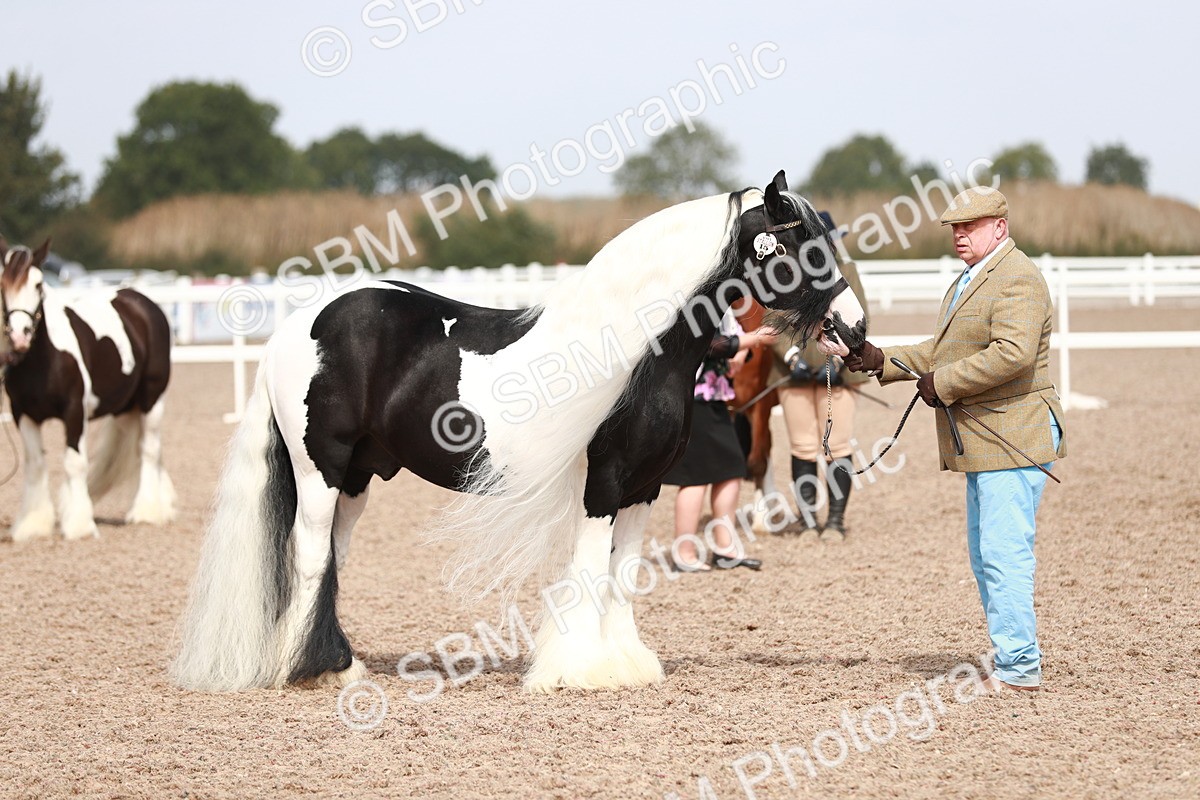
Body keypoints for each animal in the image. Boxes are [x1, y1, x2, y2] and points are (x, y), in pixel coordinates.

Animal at [0, 238, 176, 541]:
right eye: (2, 284)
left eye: (38, 284)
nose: (20, 336)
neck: (44, 359)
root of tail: (141, 302)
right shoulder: (23, 414)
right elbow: (35, 465)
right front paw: (33, 524)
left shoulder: (74, 412)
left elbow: (75, 463)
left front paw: (79, 525)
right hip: (126, 408)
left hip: (152, 399)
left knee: (150, 450)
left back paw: (146, 511)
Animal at [171, 170, 868, 694]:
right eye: (798, 245)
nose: (854, 330)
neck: (639, 354)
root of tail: (299, 325)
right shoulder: (603, 485)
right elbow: (589, 570)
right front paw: (578, 670)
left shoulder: (645, 488)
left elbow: (624, 574)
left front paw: (626, 663)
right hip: (322, 467)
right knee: (310, 552)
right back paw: (310, 671)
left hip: (358, 478)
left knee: (333, 556)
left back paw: (339, 665)